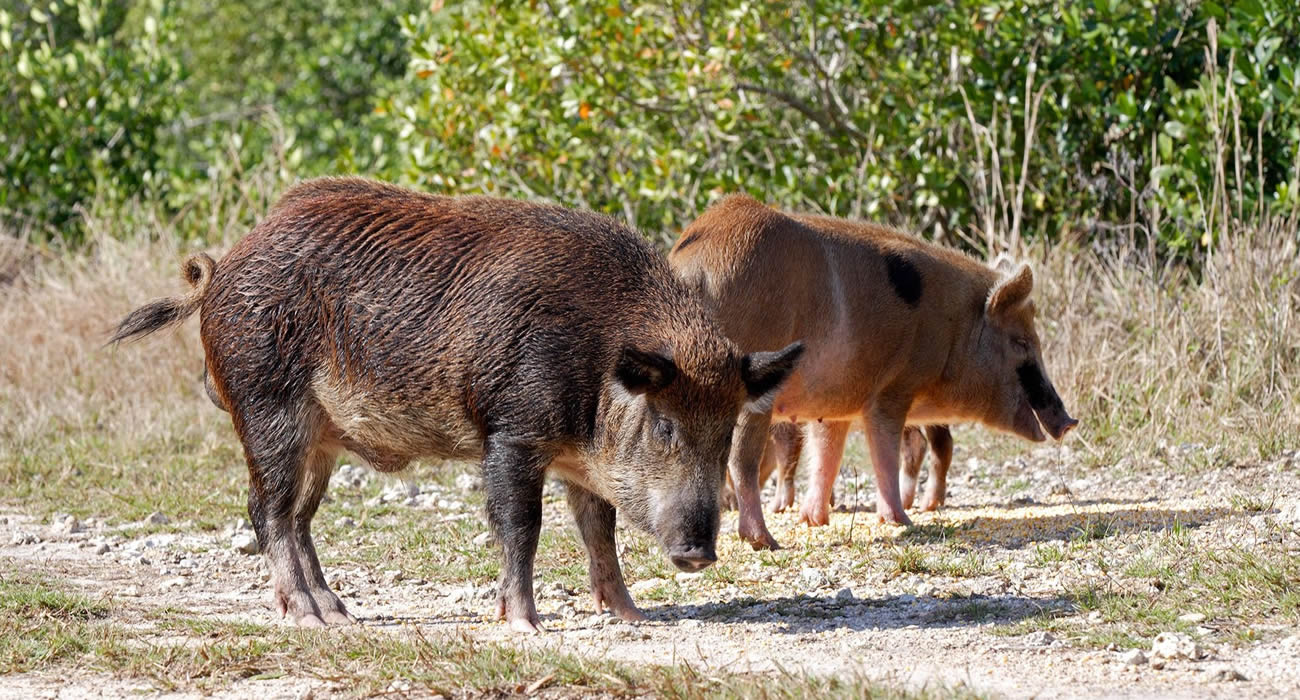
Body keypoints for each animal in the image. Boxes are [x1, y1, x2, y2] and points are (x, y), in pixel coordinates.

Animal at [111, 176, 800, 629]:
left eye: (725, 430)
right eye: (663, 425)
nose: (699, 553)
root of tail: (221, 268)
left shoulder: (581, 461)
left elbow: (597, 530)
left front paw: (631, 617)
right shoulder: (512, 430)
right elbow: (522, 524)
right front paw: (525, 625)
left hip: (321, 440)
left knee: (301, 517)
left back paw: (343, 614)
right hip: (267, 408)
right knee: (266, 511)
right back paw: (310, 619)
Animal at [670, 193, 1076, 546]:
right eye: (1021, 343)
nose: (1070, 422)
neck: (953, 327)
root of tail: (694, 268)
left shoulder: (833, 401)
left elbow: (827, 453)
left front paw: (813, 520)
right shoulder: (893, 388)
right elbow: (884, 450)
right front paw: (901, 521)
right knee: (742, 459)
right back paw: (765, 542)